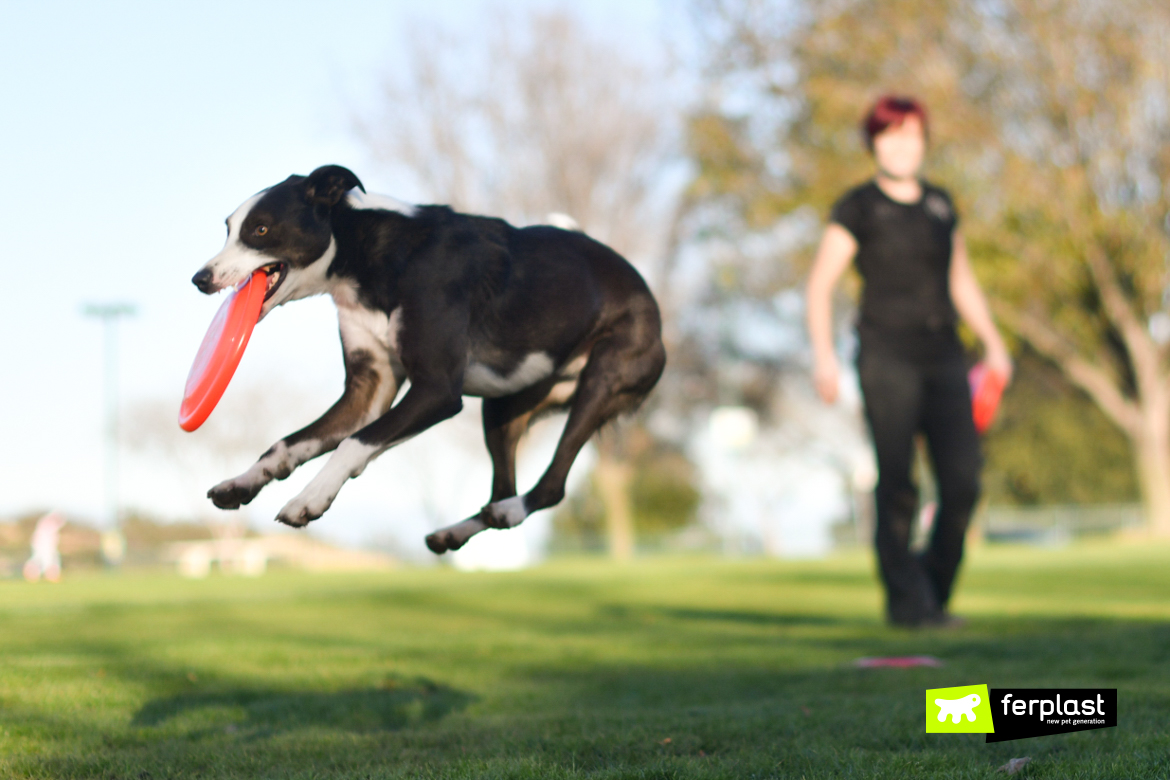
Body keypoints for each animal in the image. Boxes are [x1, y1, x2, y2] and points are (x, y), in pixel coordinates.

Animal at [193, 166, 669, 554]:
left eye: (260, 229)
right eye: (228, 229)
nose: (200, 278)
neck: (372, 254)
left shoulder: (436, 391)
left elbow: (355, 443)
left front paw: (309, 499)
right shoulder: (367, 392)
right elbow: (292, 442)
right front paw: (242, 482)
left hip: (603, 380)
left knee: (551, 485)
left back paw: (511, 511)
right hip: (503, 408)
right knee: (501, 488)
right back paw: (456, 532)